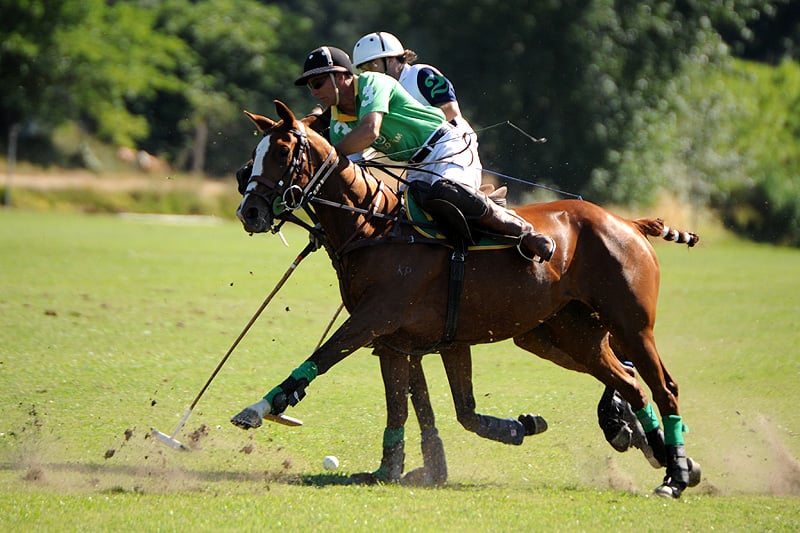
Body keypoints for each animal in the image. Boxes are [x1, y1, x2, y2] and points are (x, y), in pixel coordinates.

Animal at [230, 101, 700, 498]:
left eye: (282, 152)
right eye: (254, 154)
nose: (249, 212)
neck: (373, 226)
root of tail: (628, 223)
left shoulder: (373, 320)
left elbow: (324, 357)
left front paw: (261, 407)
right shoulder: (399, 341)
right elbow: (411, 408)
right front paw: (390, 470)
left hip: (631, 324)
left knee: (663, 387)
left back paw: (674, 476)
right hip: (565, 335)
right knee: (629, 383)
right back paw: (659, 451)